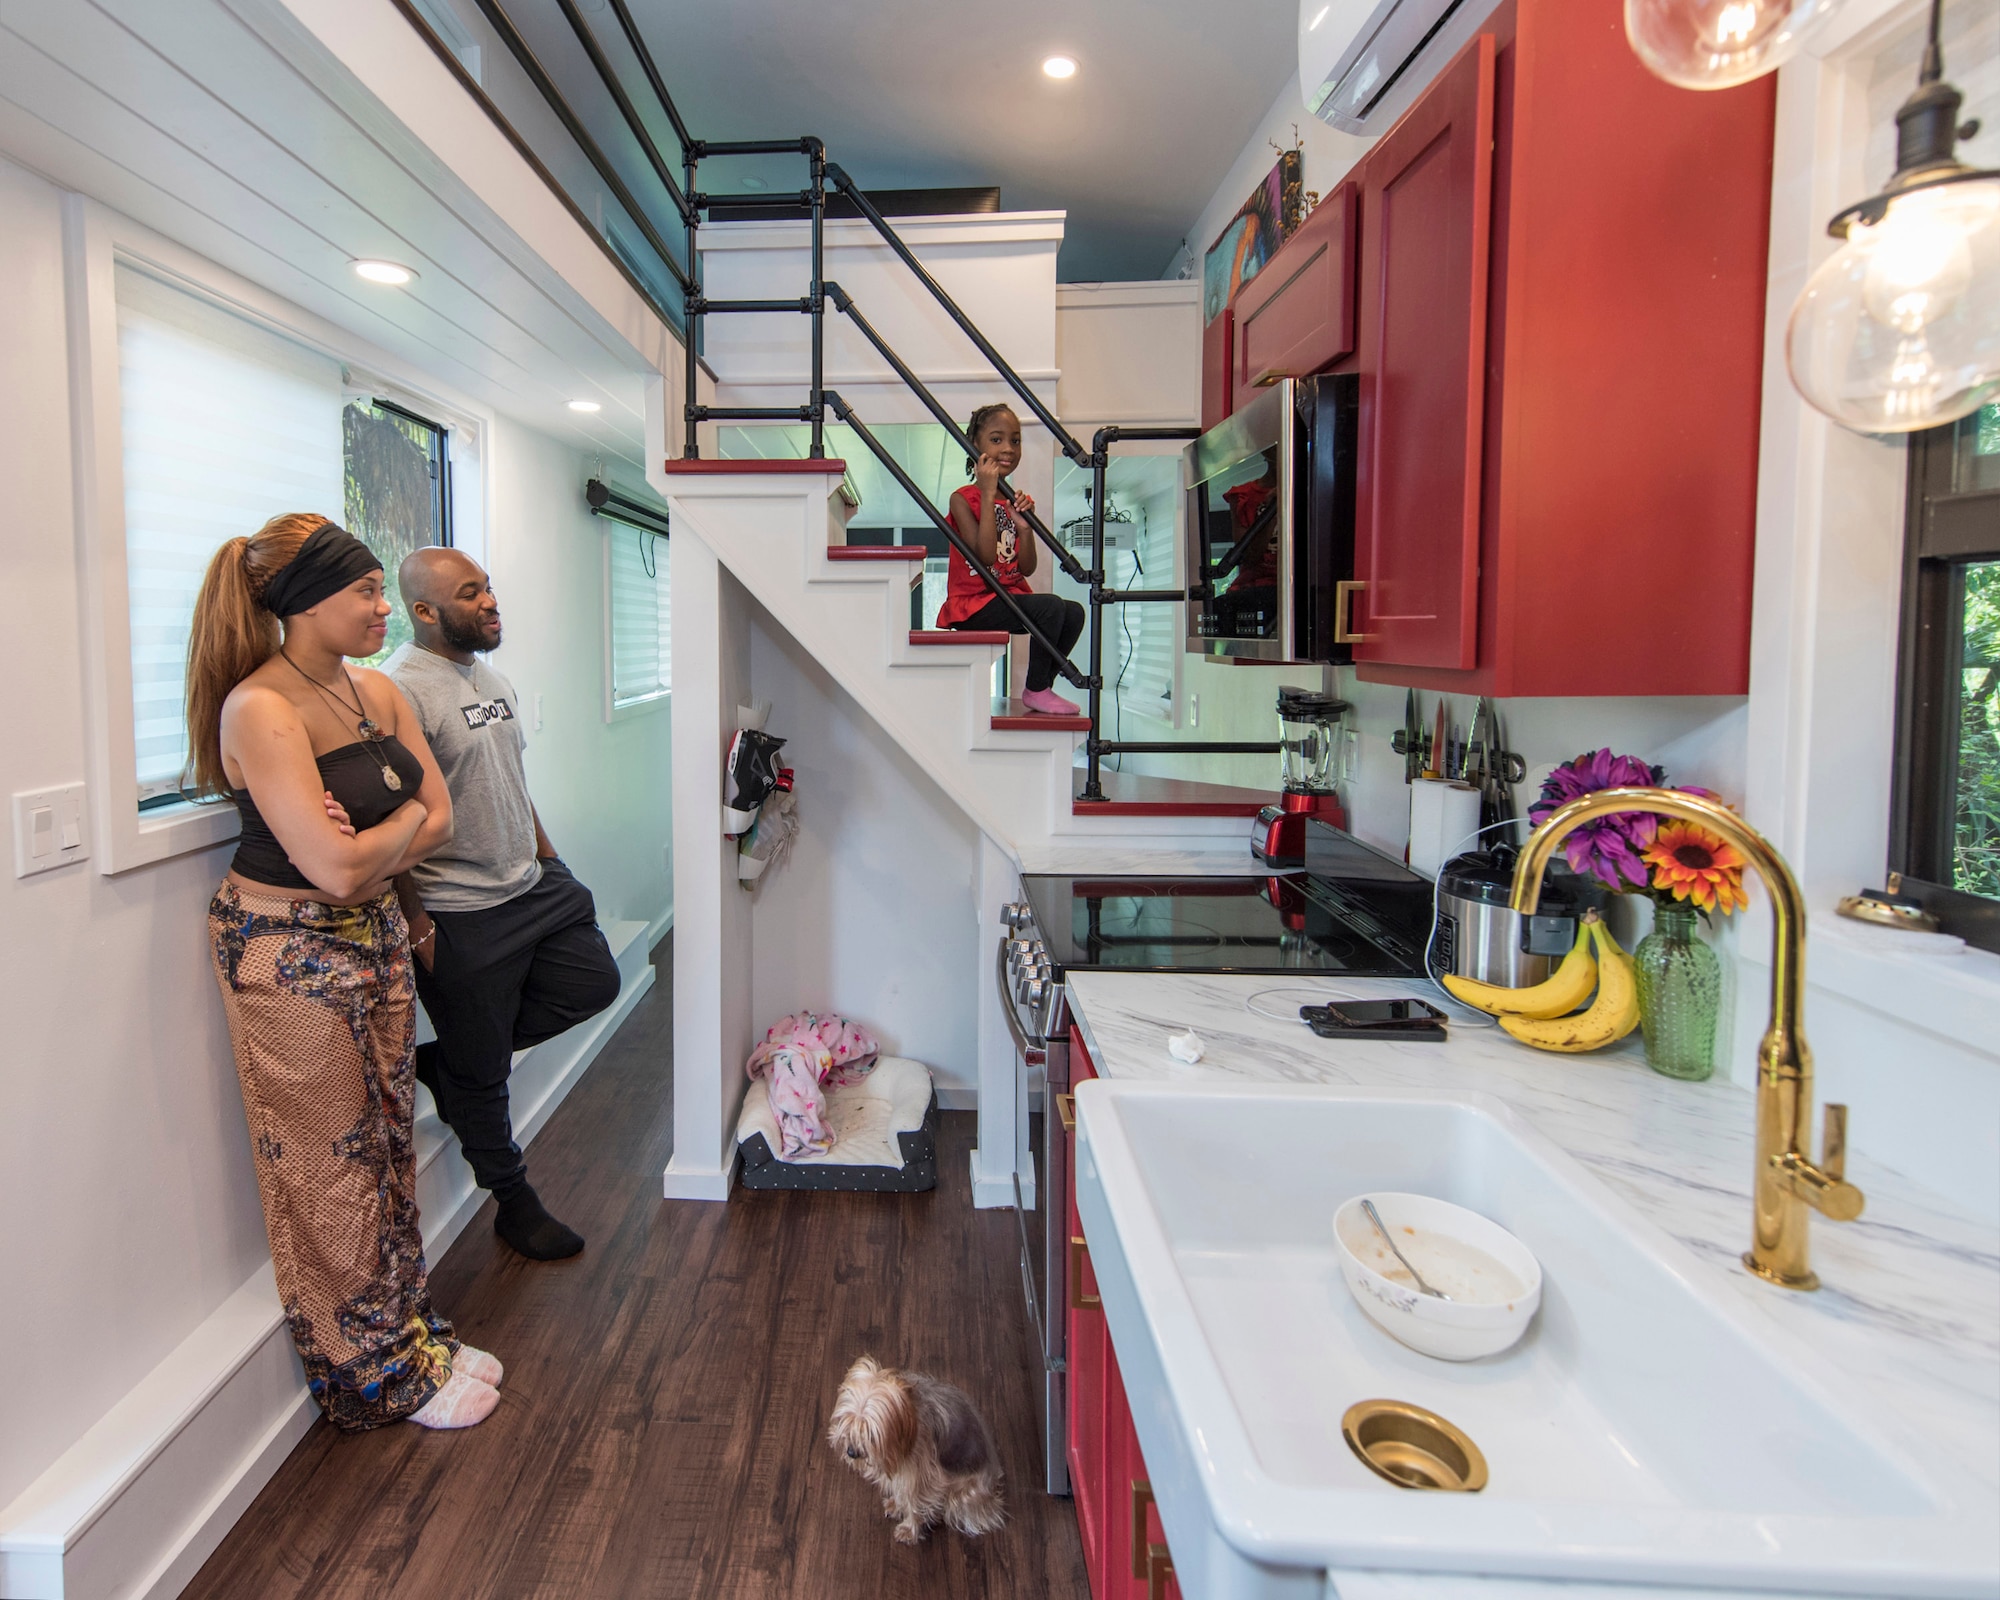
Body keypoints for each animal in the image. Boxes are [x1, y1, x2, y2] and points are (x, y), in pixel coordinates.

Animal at [828, 1360, 1008, 1544]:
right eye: (846, 1421)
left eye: (870, 1433)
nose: (851, 1452)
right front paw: (897, 1505)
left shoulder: (920, 1475)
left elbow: (914, 1501)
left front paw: (909, 1529)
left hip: (963, 1493)